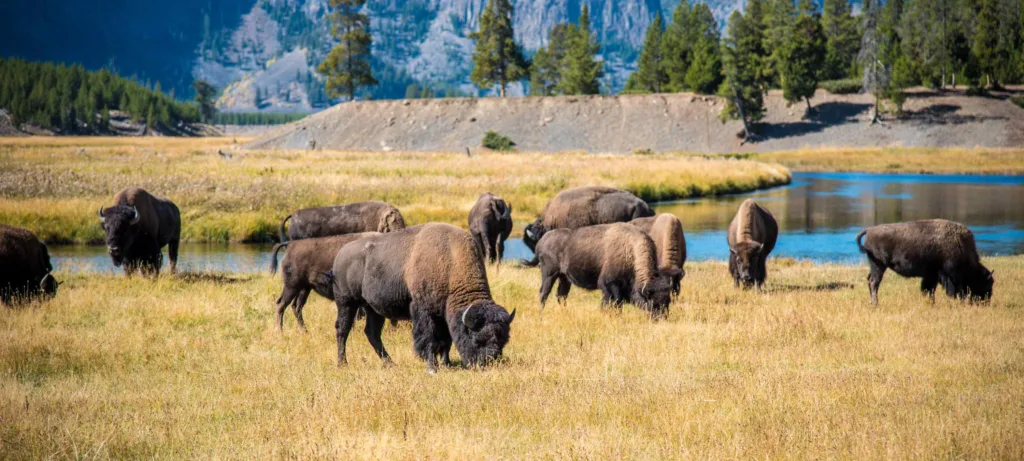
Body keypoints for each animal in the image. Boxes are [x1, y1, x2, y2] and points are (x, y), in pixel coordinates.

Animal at [330, 223, 516, 372]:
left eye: (504, 340)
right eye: (477, 340)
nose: (490, 362)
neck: (450, 261)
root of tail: (340, 254)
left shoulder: (443, 315)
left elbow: (446, 341)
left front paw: (447, 364)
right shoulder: (424, 312)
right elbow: (430, 339)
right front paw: (432, 367)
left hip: (373, 309)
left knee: (372, 333)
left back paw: (390, 363)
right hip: (346, 303)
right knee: (342, 330)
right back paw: (342, 363)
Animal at [525, 222, 677, 317]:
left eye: (668, 301)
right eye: (653, 303)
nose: (661, 318)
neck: (630, 250)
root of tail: (542, 241)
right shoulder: (609, 285)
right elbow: (612, 302)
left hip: (564, 278)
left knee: (561, 295)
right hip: (549, 274)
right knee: (543, 294)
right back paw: (541, 315)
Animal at [856, 219, 994, 305]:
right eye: (986, 284)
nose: (985, 302)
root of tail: (869, 230)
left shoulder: (931, 276)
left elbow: (929, 289)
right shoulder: (946, 276)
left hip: (875, 266)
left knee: (870, 281)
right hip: (879, 266)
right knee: (874, 283)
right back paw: (876, 304)